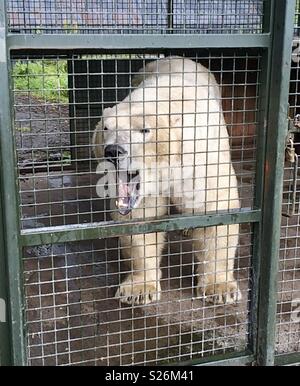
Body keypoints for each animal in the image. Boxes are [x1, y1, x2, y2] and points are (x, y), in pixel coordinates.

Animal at [93, 55, 241, 306]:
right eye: (105, 128)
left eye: (145, 130)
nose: (113, 151)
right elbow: (142, 223)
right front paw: (139, 290)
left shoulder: (201, 158)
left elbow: (216, 210)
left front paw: (220, 289)